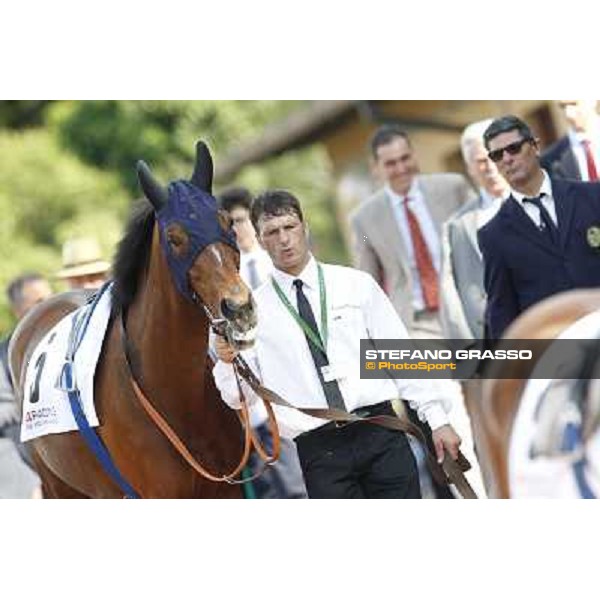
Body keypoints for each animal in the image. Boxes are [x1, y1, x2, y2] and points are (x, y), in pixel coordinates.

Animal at [8, 141, 258, 496]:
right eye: (174, 238)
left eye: (227, 223)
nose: (239, 307)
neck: (172, 390)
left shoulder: (225, 489)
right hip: (60, 486)